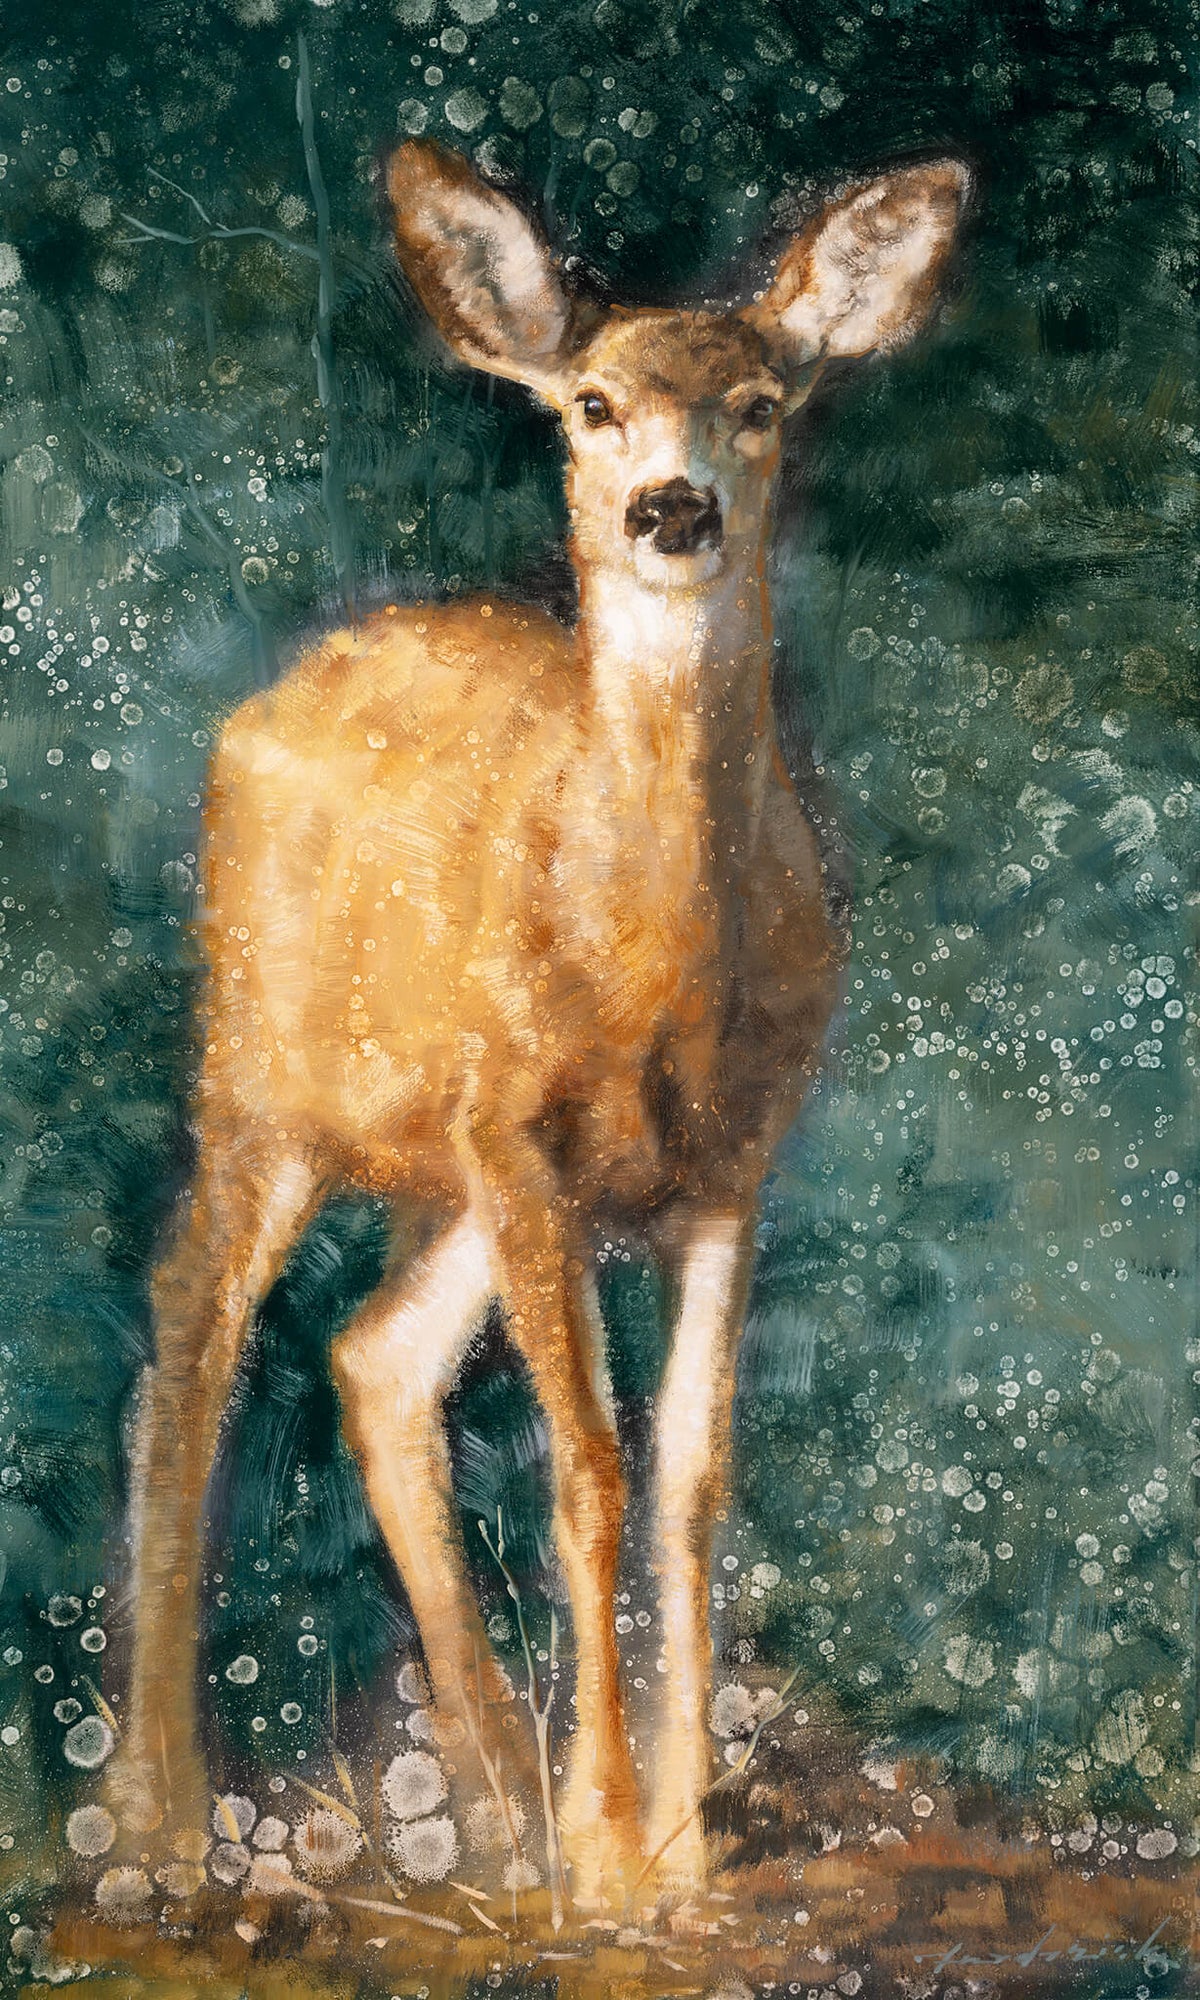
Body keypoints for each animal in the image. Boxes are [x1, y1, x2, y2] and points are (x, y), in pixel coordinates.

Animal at [107, 139, 970, 1913]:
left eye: (762, 404)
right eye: (591, 404)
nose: (672, 509)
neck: (653, 968)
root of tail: (285, 682)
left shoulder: (727, 1170)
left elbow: (692, 1482)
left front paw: (684, 1847)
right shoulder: (526, 1144)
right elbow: (588, 1474)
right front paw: (612, 1846)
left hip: (440, 1167)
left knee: (371, 1359)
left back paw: (490, 1803)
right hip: (266, 1082)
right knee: (190, 1332)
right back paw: (166, 1814)